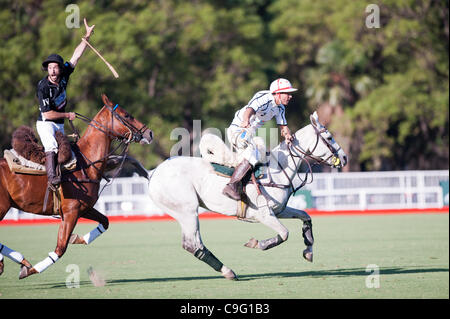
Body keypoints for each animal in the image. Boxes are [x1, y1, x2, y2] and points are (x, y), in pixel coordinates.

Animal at [0, 94, 153, 278]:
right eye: (127, 115)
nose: (149, 133)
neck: (85, 162)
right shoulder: (70, 212)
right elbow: (60, 249)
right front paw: (30, 269)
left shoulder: (83, 208)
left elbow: (105, 221)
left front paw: (76, 238)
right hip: (2, 206)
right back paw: (19, 261)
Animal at [148, 112, 348, 280]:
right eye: (329, 137)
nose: (345, 158)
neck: (278, 170)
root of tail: (153, 173)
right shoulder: (263, 215)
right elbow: (284, 234)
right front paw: (257, 243)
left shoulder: (278, 210)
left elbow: (306, 216)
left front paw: (308, 250)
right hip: (187, 211)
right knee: (192, 244)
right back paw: (228, 271)